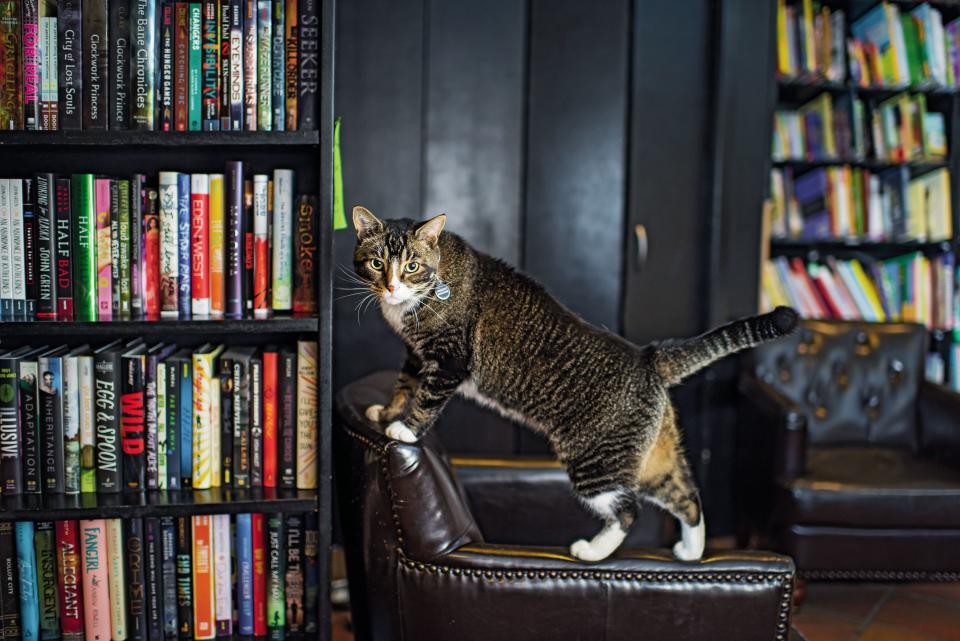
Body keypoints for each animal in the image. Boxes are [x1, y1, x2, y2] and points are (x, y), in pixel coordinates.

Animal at [348, 208, 800, 564]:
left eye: (410, 266)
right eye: (377, 263)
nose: (391, 286)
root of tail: (648, 357)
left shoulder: (449, 360)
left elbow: (425, 398)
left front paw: (404, 429)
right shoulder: (416, 355)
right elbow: (405, 385)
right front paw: (387, 411)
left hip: (595, 462)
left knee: (628, 509)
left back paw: (591, 551)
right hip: (655, 457)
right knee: (687, 497)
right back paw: (690, 551)